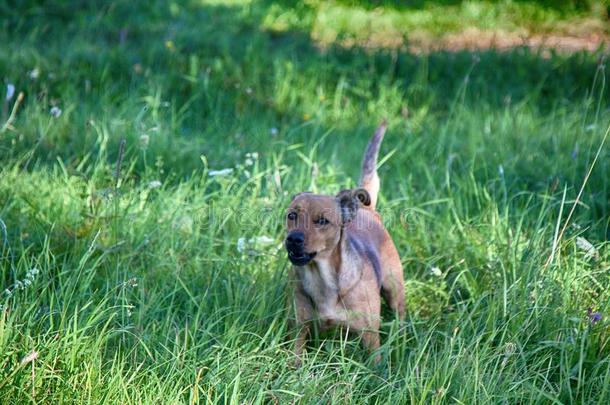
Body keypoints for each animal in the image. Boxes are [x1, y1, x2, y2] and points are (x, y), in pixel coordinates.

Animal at [284, 122, 404, 362]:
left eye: (322, 220)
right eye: (292, 215)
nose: (293, 239)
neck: (322, 278)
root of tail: (367, 209)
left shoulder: (370, 336)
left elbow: (376, 363)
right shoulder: (299, 330)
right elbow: (295, 359)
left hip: (395, 289)